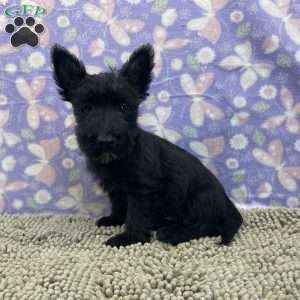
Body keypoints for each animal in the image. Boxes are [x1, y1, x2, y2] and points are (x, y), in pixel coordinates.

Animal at [51, 43, 244, 247]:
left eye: (124, 107)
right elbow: (119, 203)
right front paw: (114, 219)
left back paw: (172, 233)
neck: (122, 155)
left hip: (200, 201)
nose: (105, 140)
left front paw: (129, 237)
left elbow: (137, 214)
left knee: (206, 226)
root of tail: (228, 204)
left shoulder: (142, 189)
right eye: (87, 108)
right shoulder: (116, 187)